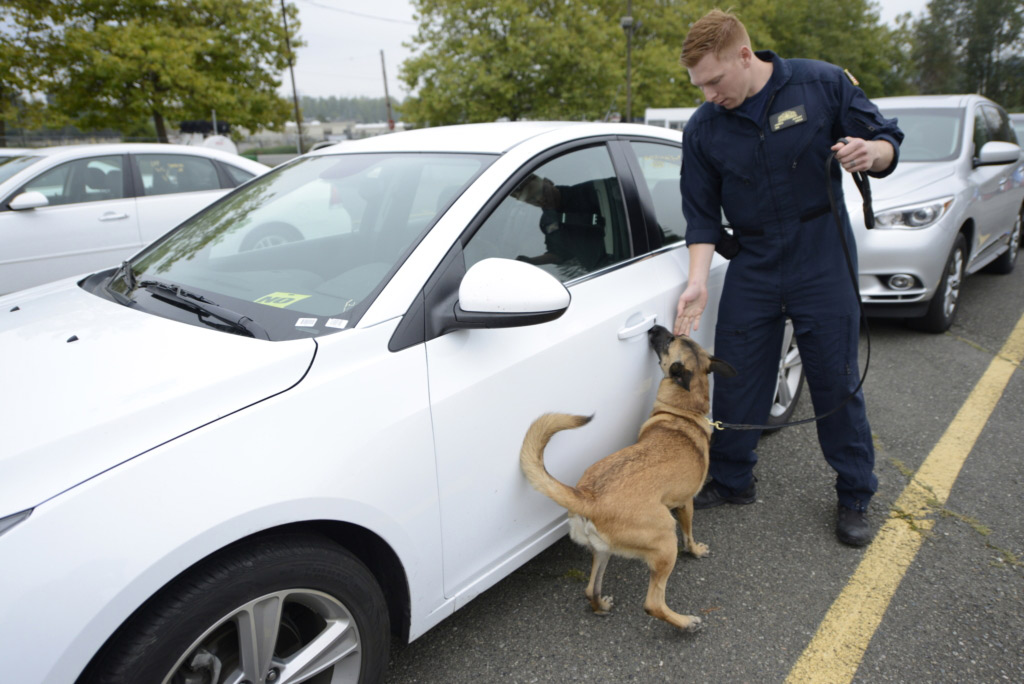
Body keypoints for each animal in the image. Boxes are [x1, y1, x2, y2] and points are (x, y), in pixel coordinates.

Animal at [520, 325, 737, 630]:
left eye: (672, 338)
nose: (655, 327)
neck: (683, 412)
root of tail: (588, 497)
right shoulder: (686, 504)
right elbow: (689, 535)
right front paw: (695, 550)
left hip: (604, 551)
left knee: (590, 589)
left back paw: (601, 605)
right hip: (665, 539)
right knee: (653, 604)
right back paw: (685, 622)